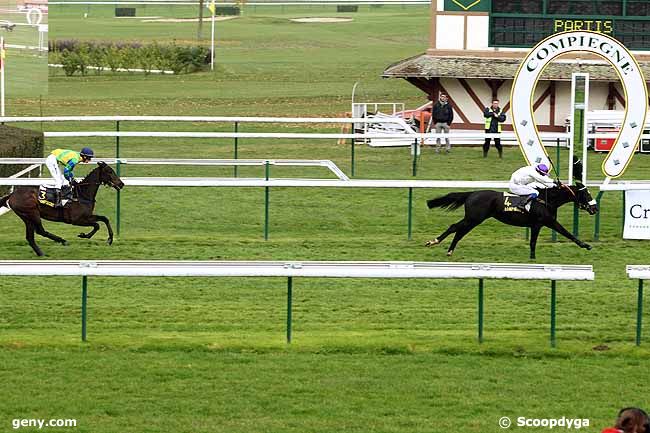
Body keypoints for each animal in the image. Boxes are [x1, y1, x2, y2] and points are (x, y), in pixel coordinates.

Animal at [426, 181, 596, 258]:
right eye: (586, 194)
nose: (594, 208)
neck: (547, 200)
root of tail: (472, 193)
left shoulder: (540, 224)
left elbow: (535, 242)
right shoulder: (545, 222)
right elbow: (566, 233)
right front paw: (586, 245)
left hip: (473, 220)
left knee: (459, 231)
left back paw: (449, 250)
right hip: (474, 218)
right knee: (454, 227)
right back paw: (434, 242)